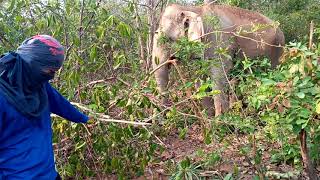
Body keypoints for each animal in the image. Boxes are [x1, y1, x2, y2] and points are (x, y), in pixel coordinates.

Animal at [152, 2, 284, 116]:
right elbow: (200, 78)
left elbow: (219, 74)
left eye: (166, 39)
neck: (193, 9)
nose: (166, 115)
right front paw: (209, 117)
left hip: (277, 50)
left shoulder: (221, 42)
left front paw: (220, 119)